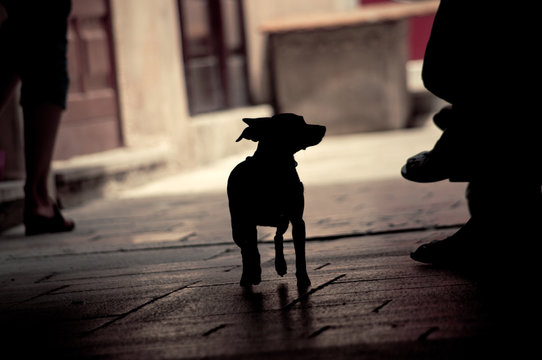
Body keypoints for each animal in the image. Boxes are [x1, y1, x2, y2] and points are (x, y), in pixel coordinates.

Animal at [226, 114, 326, 288]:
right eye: (297, 123)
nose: (323, 128)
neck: (275, 168)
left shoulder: (297, 220)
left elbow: (300, 254)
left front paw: (303, 279)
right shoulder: (248, 223)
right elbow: (251, 250)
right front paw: (254, 273)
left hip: (282, 221)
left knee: (277, 237)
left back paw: (280, 265)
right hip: (238, 227)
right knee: (246, 249)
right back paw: (247, 276)